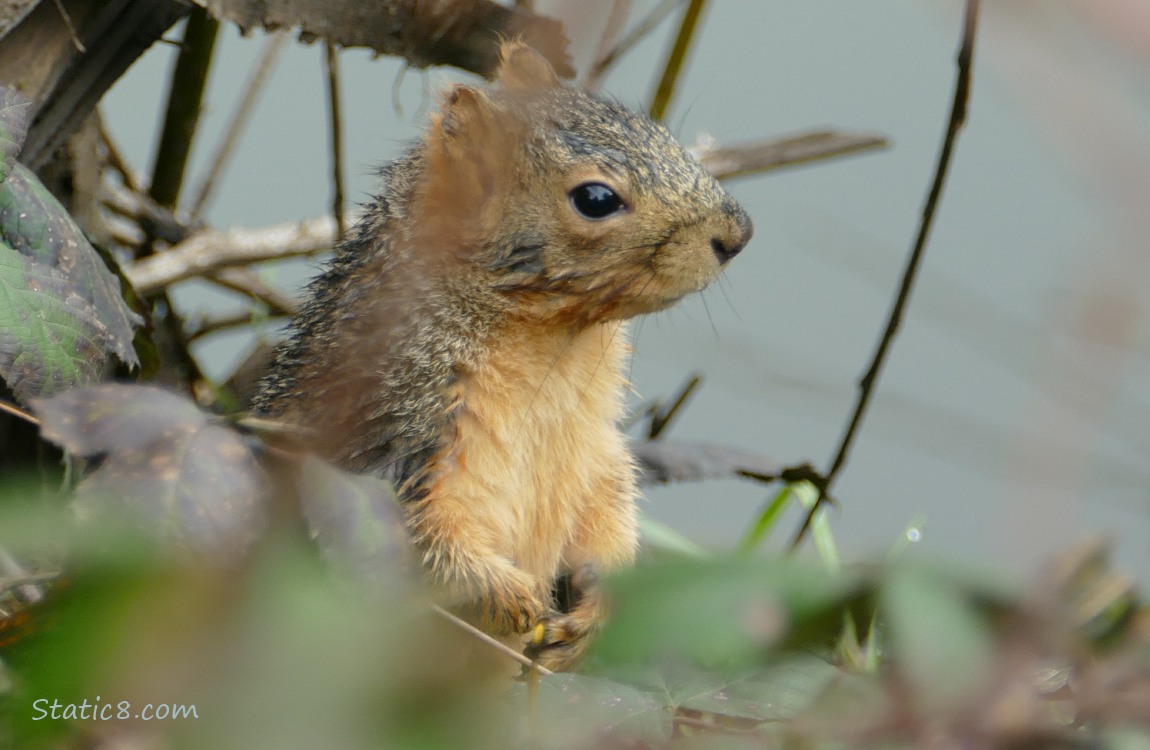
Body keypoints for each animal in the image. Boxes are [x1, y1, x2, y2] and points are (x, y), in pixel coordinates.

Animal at [252, 42, 752, 671]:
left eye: (657, 130)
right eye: (596, 199)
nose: (738, 232)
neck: (556, 347)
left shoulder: (599, 447)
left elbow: (611, 505)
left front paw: (596, 608)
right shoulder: (398, 424)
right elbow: (428, 535)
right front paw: (511, 597)